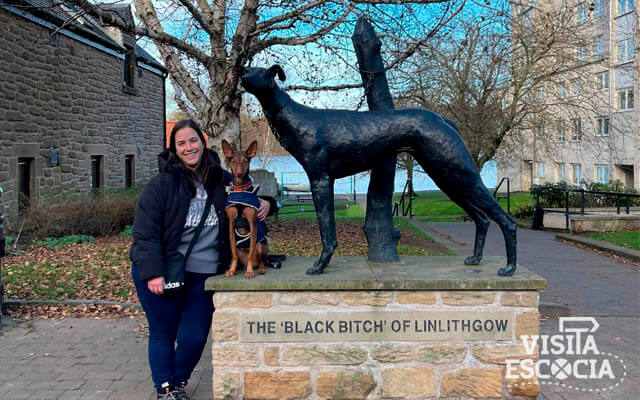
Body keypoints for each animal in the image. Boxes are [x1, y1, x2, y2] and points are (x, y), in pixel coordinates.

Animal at [222, 140, 268, 278]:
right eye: (233, 161)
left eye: (245, 161)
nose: (238, 173)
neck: (240, 189)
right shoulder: (231, 224)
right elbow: (233, 255)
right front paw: (232, 270)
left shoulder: (252, 223)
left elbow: (251, 252)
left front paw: (249, 271)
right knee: (238, 257)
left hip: (261, 245)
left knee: (260, 259)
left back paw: (260, 268)